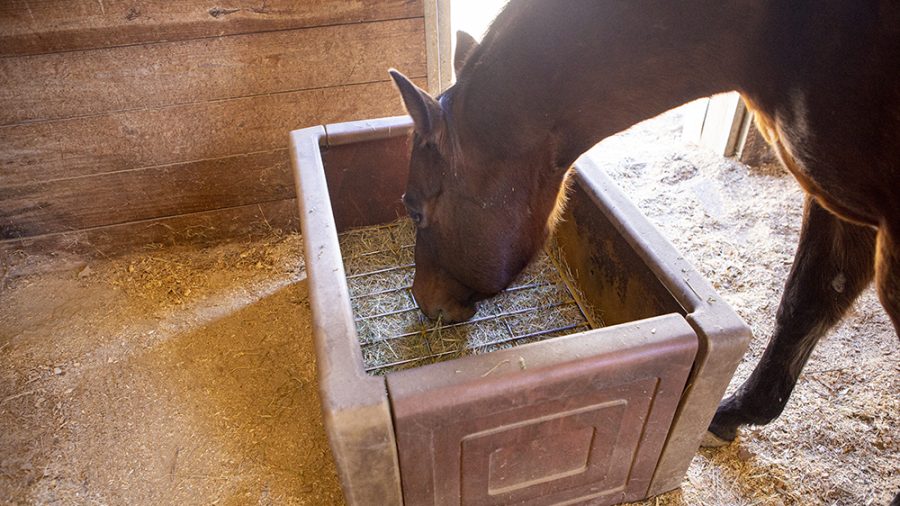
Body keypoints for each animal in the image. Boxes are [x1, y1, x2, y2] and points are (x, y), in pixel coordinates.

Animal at [388, 0, 899, 458]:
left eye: (413, 208)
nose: (422, 301)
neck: (767, 37)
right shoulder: (835, 203)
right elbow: (806, 304)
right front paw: (735, 413)